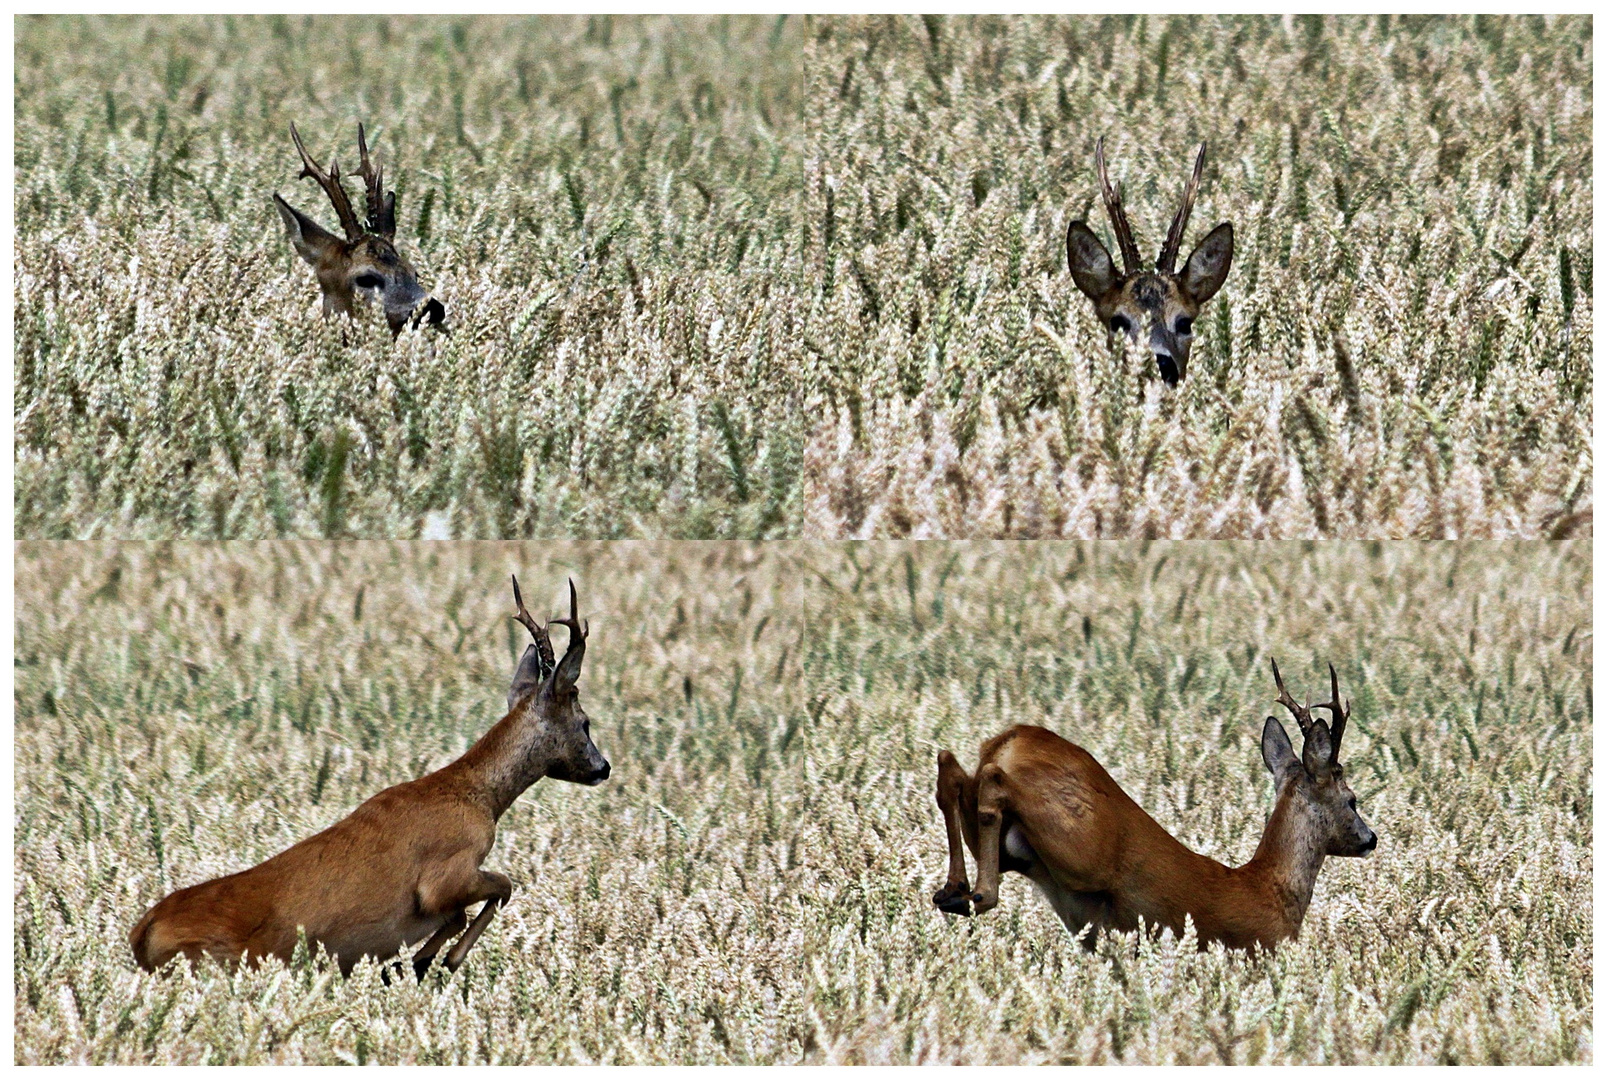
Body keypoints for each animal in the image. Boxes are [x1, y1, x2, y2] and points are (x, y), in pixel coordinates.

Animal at [130, 581, 607, 977]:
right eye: (585, 722)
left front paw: (411, 964)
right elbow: (499, 888)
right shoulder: (445, 877)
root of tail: (142, 933)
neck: (476, 795)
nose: (603, 767)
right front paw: (433, 962)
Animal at [938, 658, 1375, 951]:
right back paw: (975, 894)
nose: (1370, 838)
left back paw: (953, 891)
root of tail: (1010, 740)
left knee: (952, 769)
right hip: (1077, 847)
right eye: (1352, 800)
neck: (1269, 888)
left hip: (1020, 847)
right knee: (990, 783)